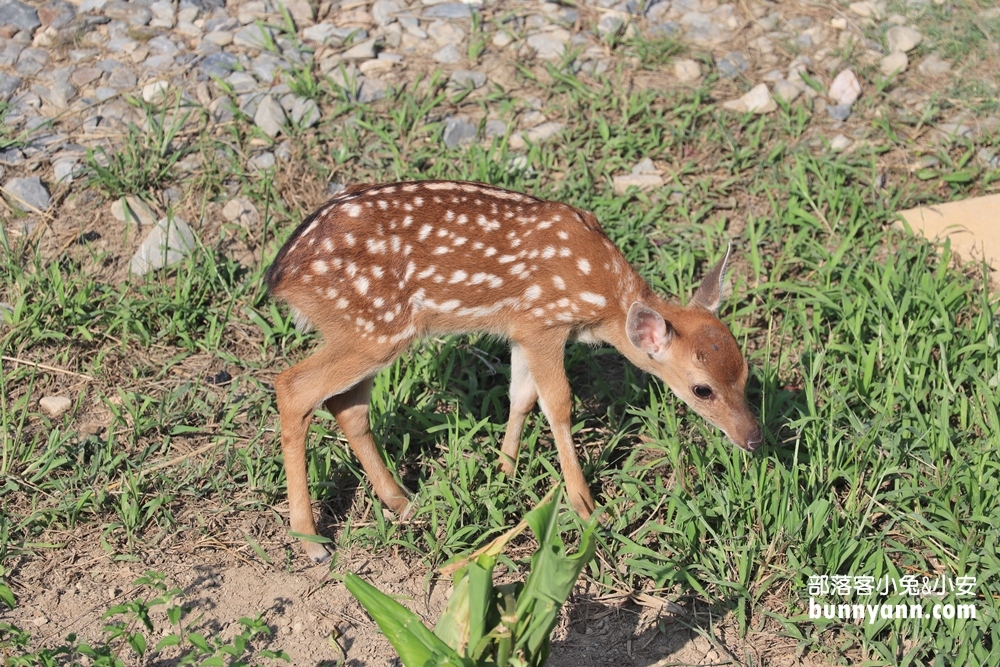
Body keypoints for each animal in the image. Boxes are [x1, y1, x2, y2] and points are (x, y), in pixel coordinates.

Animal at [262, 180, 760, 560]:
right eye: (702, 389)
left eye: (745, 373)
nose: (754, 438)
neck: (602, 296)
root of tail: (281, 274)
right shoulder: (545, 323)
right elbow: (558, 404)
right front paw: (585, 506)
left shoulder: (520, 329)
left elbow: (520, 396)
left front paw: (504, 471)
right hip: (373, 327)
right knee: (293, 387)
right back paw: (312, 540)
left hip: (367, 333)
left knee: (346, 405)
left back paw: (402, 502)